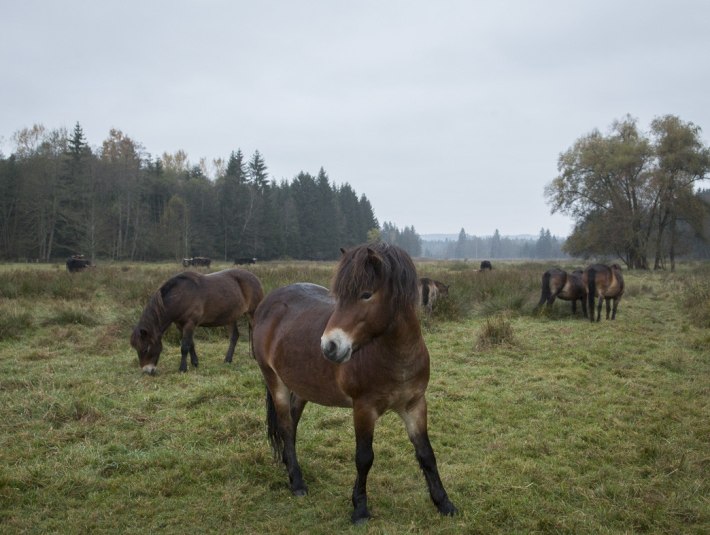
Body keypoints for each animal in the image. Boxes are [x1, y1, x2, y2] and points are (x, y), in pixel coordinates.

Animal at [131, 266, 264, 372]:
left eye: (146, 349)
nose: (147, 371)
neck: (180, 296)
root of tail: (255, 278)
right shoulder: (181, 325)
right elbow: (191, 344)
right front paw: (195, 363)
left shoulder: (190, 323)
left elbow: (185, 346)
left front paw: (183, 368)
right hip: (231, 316)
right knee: (234, 336)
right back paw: (228, 359)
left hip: (252, 313)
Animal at [253, 243, 458, 524]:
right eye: (339, 296)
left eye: (366, 294)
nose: (329, 346)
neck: (397, 357)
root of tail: (268, 303)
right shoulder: (363, 409)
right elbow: (364, 458)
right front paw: (360, 509)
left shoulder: (415, 405)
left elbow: (426, 454)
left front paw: (444, 503)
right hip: (275, 382)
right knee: (285, 427)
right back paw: (297, 483)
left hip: (302, 388)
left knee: (291, 427)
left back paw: (291, 469)